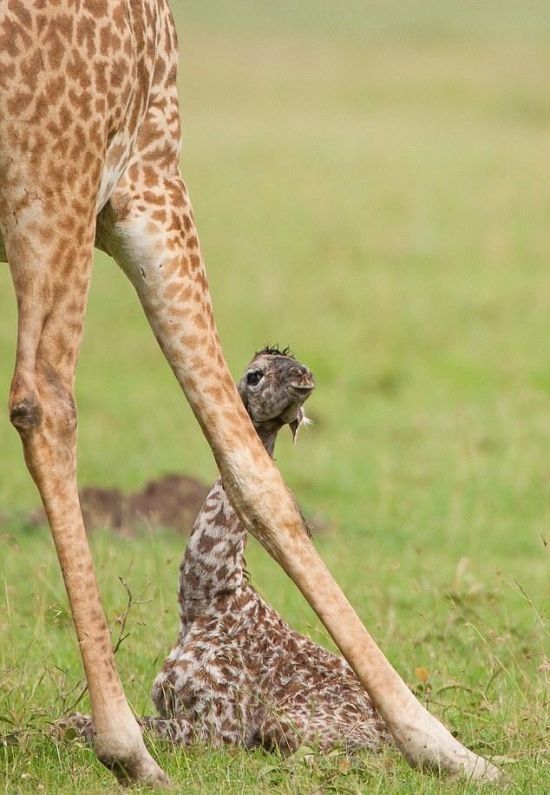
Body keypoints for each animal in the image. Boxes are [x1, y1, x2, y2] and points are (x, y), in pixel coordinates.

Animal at [61, 348, 388, 752]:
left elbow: (119, 726)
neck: (206, 599)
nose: (304, 376)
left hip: (285, 725)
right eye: (255, 375)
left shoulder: (221, 729)